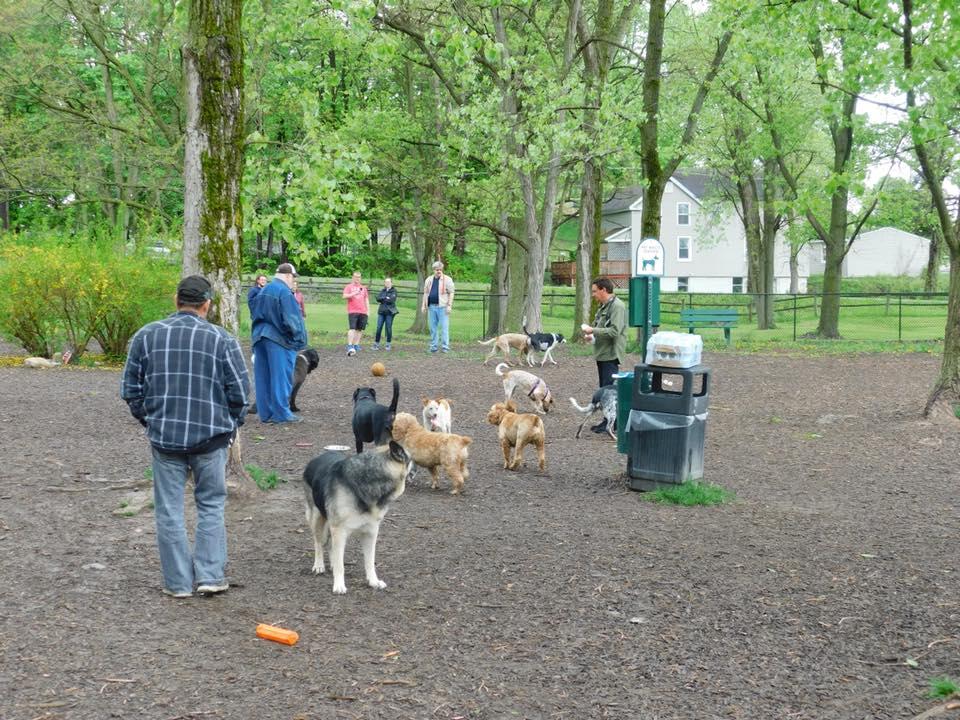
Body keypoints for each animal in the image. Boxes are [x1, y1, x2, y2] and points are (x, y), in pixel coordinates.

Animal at [302, 444, 414, 596]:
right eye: (411, 458)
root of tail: (315, 459)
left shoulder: (371, 533)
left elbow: (370, 561)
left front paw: (373, 582)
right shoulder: (339, 531)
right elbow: (340, 565)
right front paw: (339, 585)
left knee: (330, 546)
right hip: (317, 518)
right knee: (318, 543)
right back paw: (319, 565)